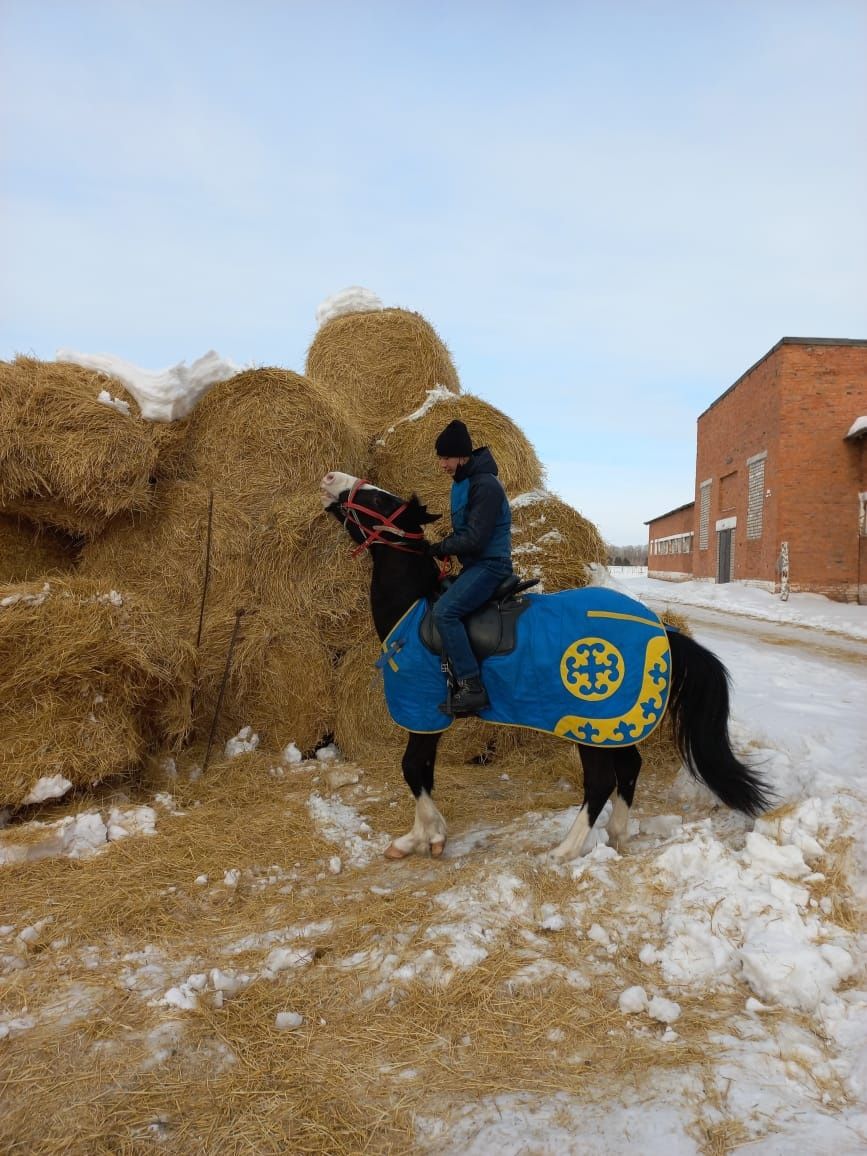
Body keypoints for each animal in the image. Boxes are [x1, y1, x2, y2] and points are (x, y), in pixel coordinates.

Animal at [321, 469, 772, 860]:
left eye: (378, 499)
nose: (330, 478)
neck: (415, 611)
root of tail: (663, 629)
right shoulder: (429, 718)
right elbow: (424, 772)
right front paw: (425, 835)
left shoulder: (423, 712)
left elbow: (413, 769)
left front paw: (423, 837)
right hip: (615, 728)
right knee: (629, 768)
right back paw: (617, 834)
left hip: (590, 725)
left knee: (601, 782)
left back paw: (564, 850)